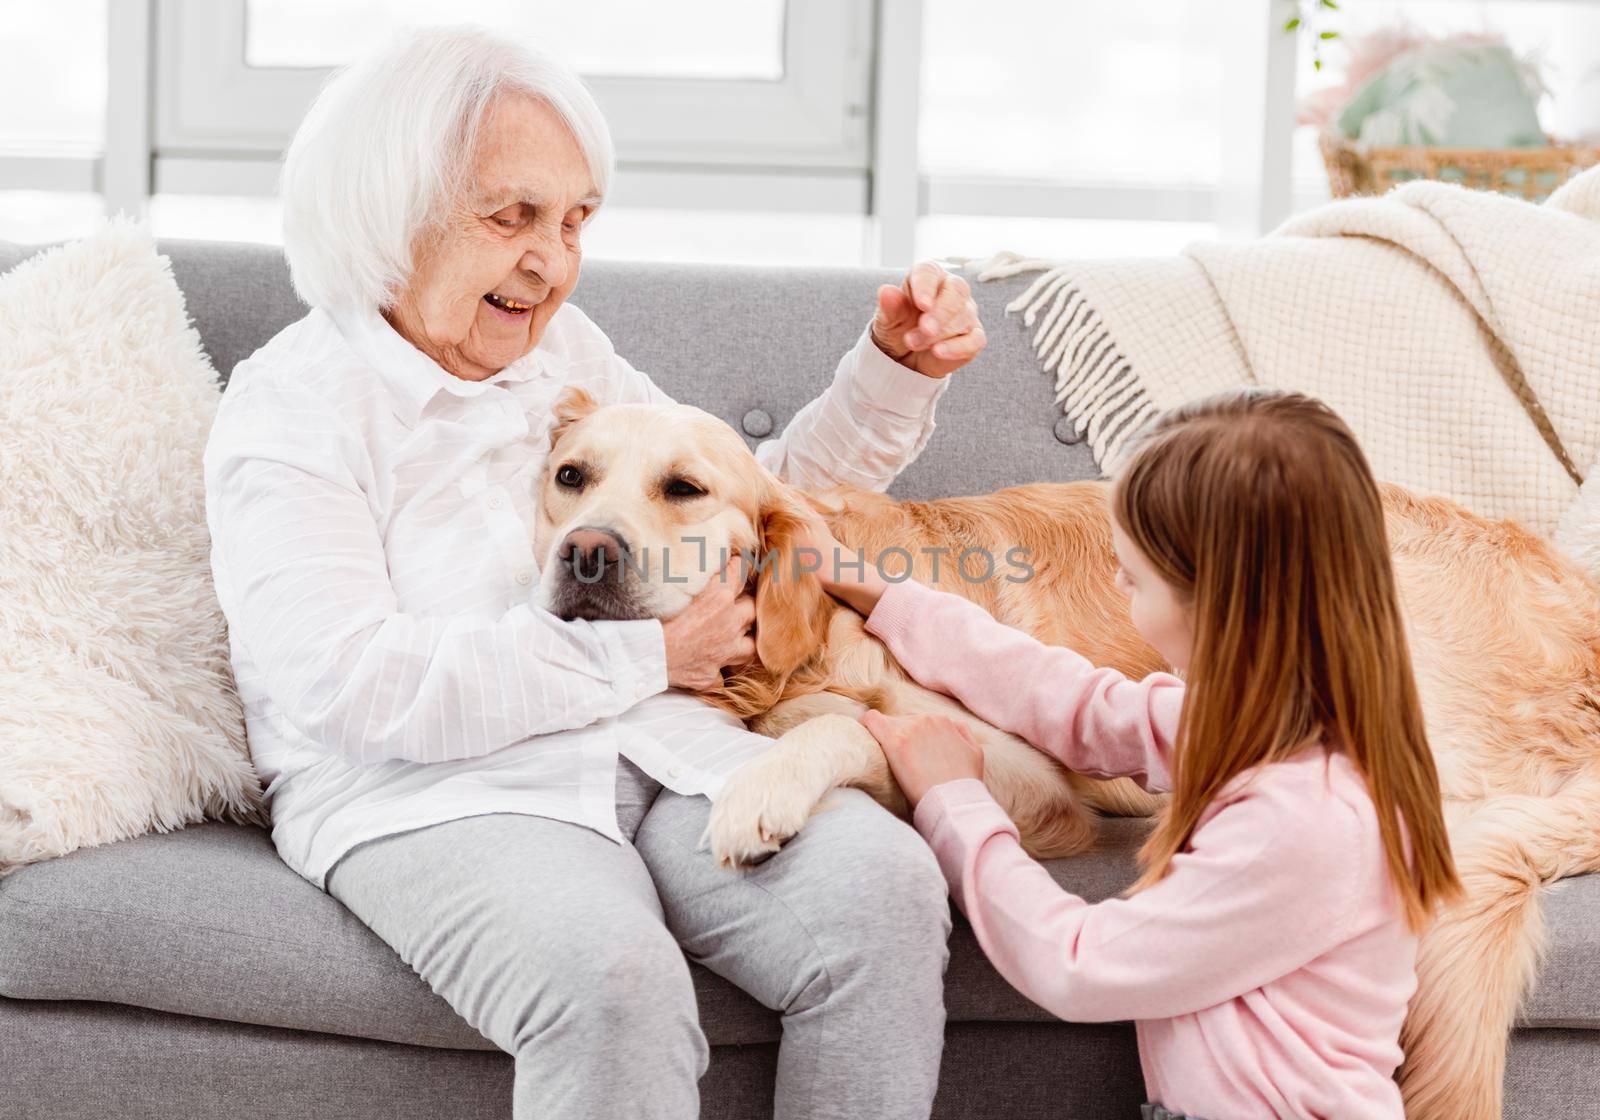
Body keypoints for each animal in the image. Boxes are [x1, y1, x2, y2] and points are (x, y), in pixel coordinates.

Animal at [531, 387, 1600, 1120]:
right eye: (569, 477)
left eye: (684, 489)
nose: (585, 554)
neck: (807, 637)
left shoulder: (1033, 780)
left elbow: (847, 726)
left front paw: (764, 791)